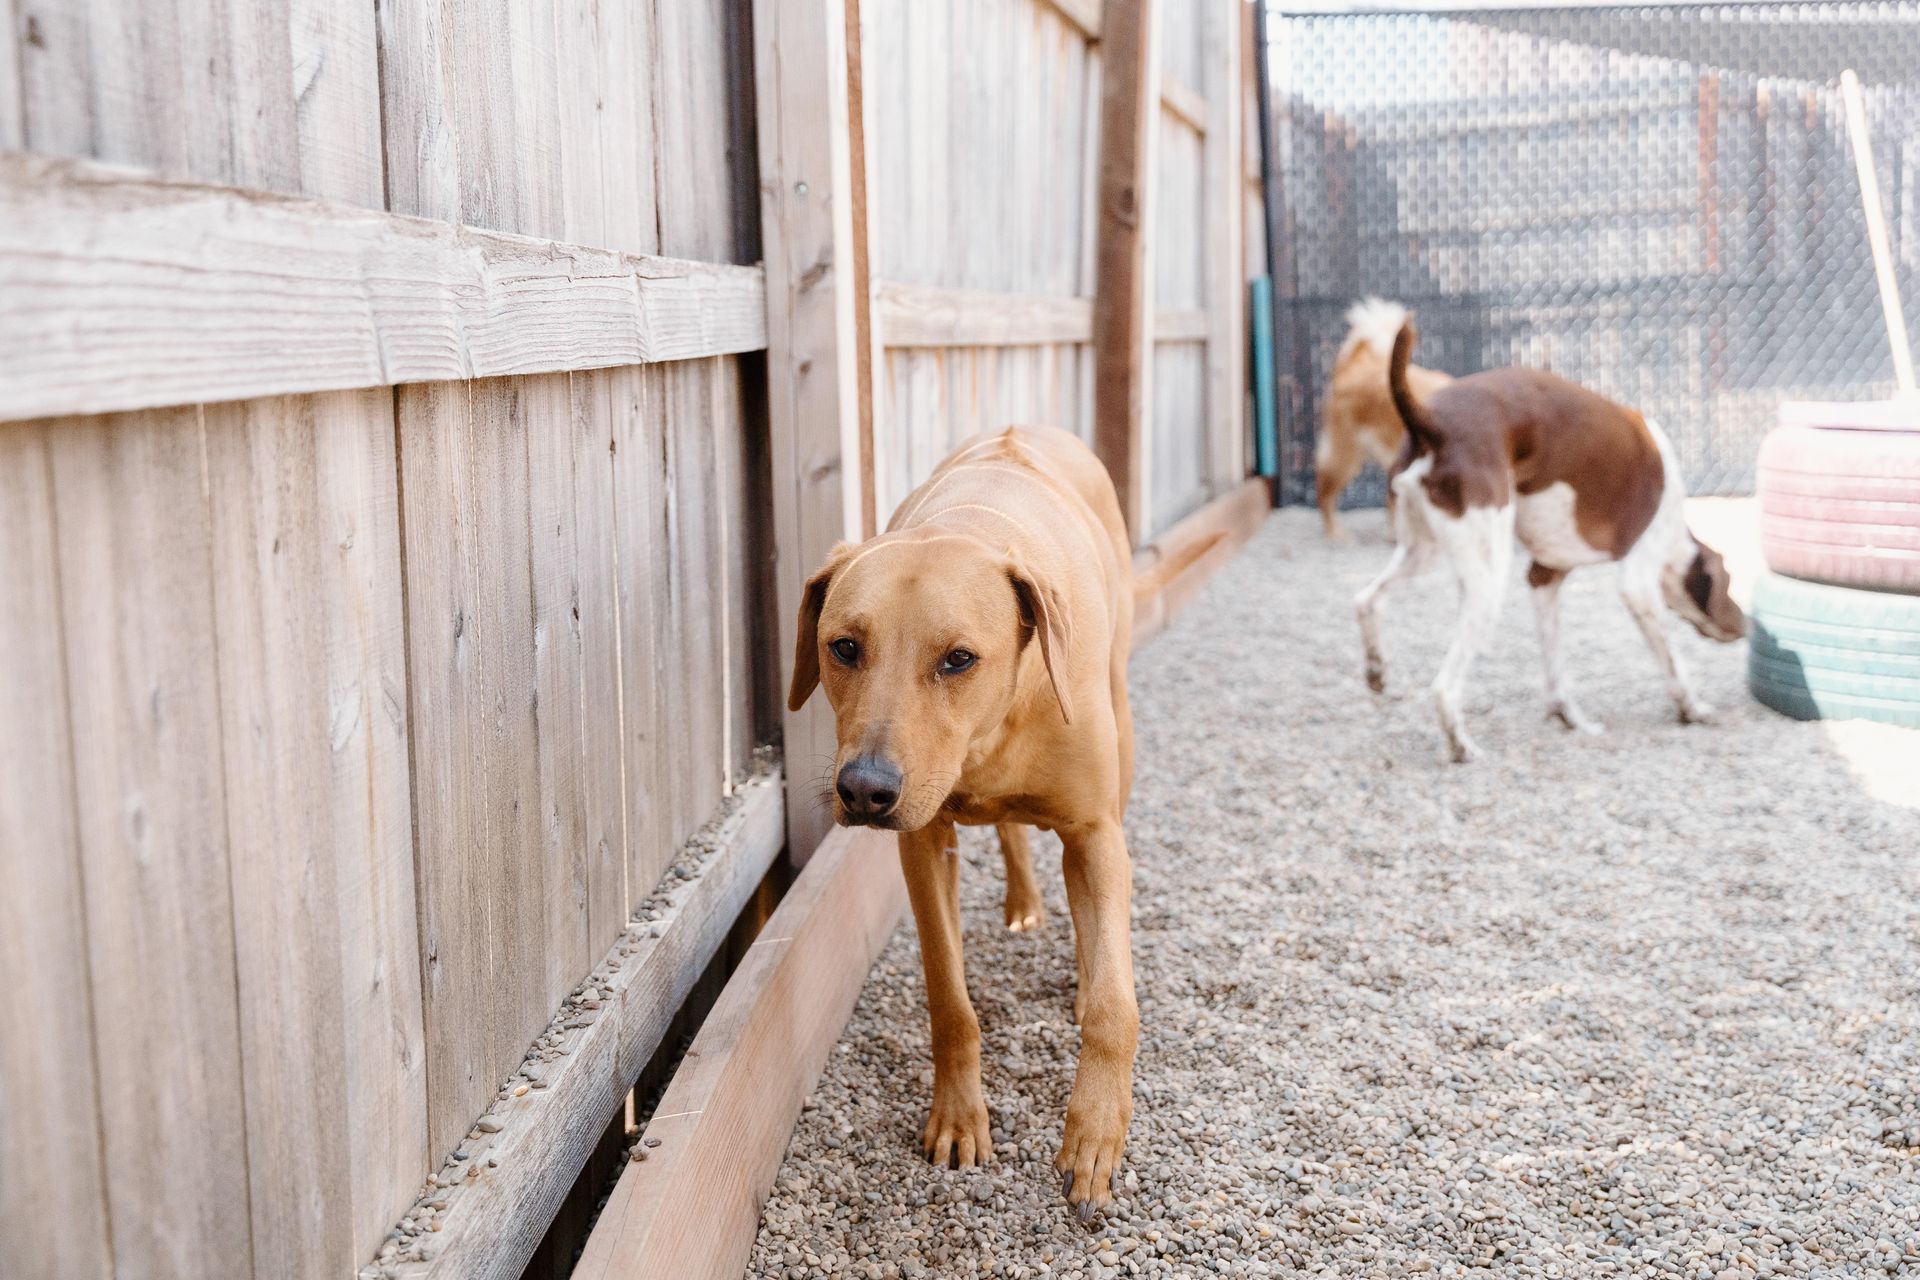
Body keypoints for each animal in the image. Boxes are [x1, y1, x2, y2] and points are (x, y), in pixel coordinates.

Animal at [787, 426, 1205, 1220]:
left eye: (958, 659)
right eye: (844, 646)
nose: (864, 790)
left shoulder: (1096, 833)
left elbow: (1116, 1006)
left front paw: (1096, 1131)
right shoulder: (923, 843)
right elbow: (951, 1002)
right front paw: (958, 1118)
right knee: (1012, 833)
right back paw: (1023, 901)